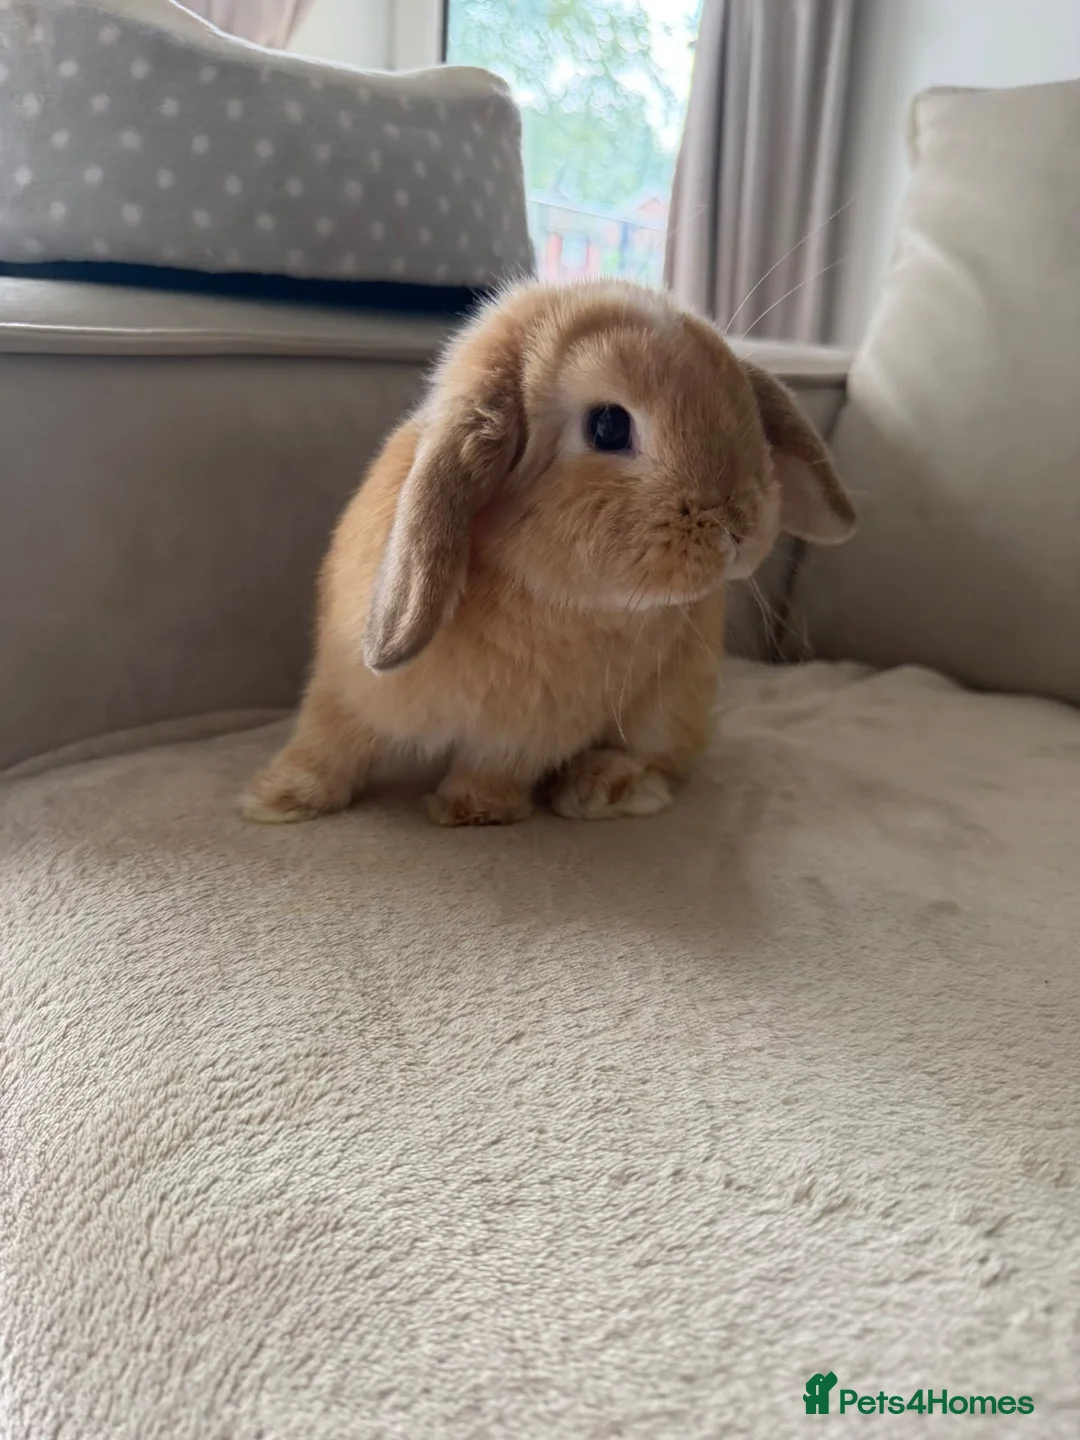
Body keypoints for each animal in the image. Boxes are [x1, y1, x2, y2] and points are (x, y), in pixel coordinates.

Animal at [242, 278, 855, 828]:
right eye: (608, 425)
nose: (740, 525)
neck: (543, 587)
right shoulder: (344, 687)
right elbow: (327, 744)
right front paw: (276, 799)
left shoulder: (534, 730)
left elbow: (496, 766)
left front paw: (472, 811)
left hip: (675, 703)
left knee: (664, 761)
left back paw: (603, 788)